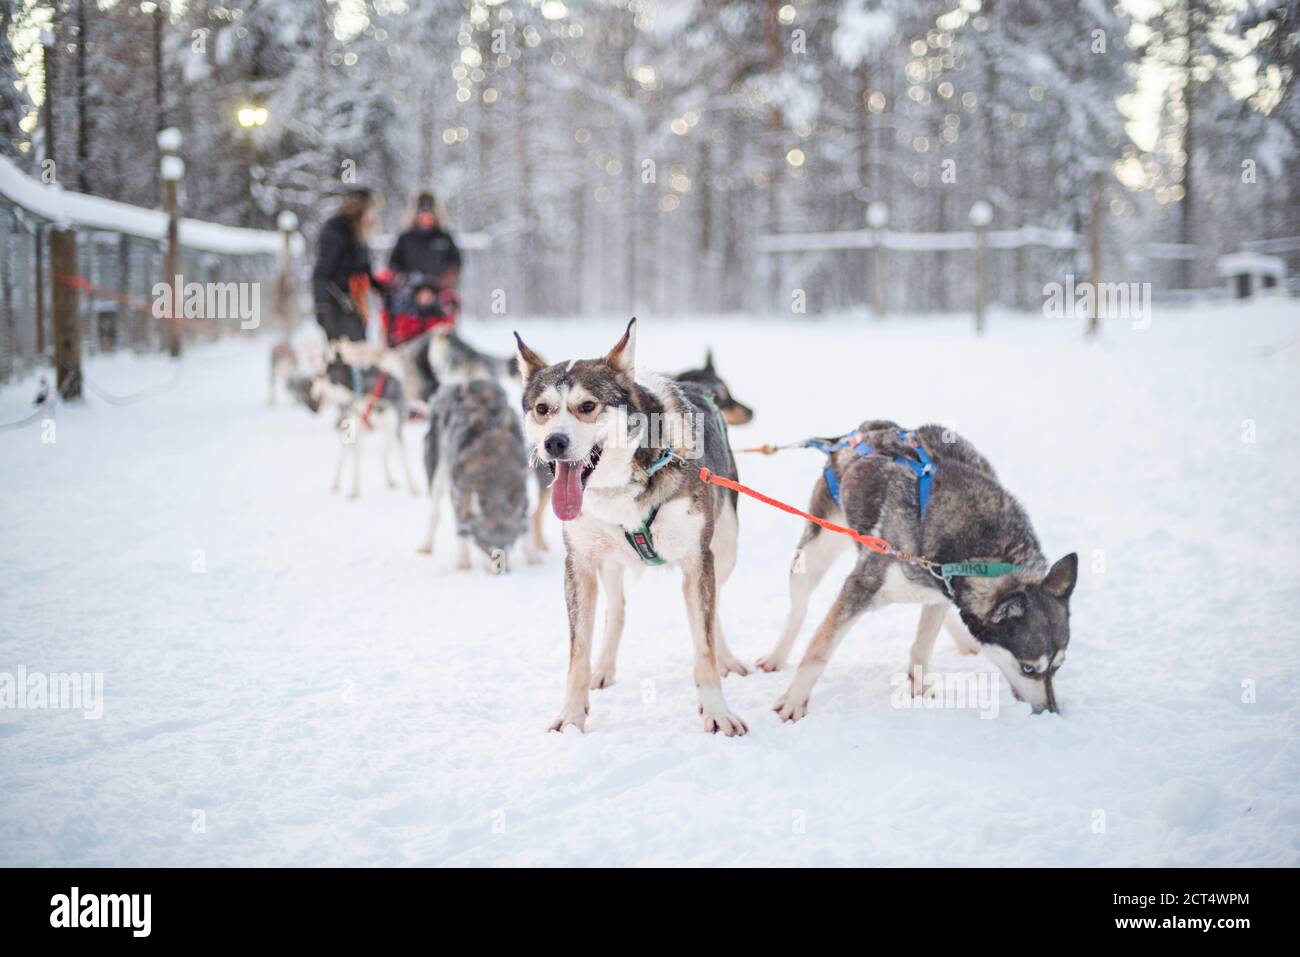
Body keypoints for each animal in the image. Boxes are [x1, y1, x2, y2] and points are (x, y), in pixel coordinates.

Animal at [509, 317, 754, 738]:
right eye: (542, 409)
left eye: (587, 406)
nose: (554, 442)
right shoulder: (579, 565)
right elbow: (578, 652)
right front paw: (571, 716)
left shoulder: (697, 561)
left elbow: (703, 645)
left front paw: (717, 712)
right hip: (608, 562)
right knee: (617, 610)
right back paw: (603, 667)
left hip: (724, 551)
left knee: (714, 609)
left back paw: (726, 658)